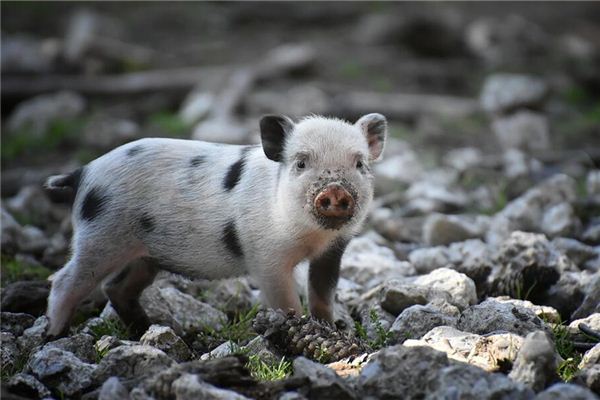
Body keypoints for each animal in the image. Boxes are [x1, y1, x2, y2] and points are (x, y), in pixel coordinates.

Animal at [44, 113, 387, 338]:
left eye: (359, 164)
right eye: (301, 163)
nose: (335, 190)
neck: (313, 238)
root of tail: (83, 172)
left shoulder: (333, 251)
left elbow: (322, 294)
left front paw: (330, 329)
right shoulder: (265, 257)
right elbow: (287, 301)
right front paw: (297, 327)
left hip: (143, 255)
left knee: (116, 287)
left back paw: (152, 329)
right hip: (99, 236)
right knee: (64, 280)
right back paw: (55, 336)